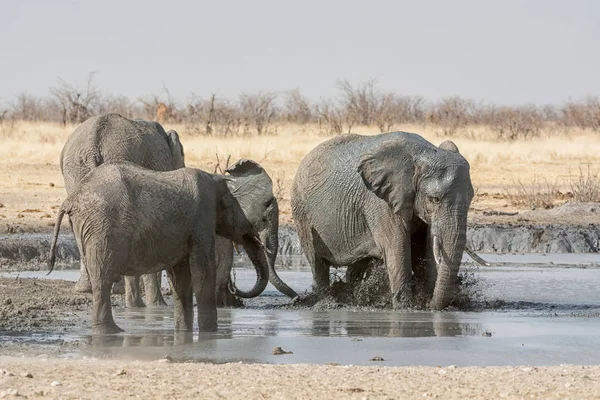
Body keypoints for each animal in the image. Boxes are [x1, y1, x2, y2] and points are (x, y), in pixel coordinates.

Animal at [47, 162, 272, 334]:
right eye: (235, 207)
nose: (234, 287)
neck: (214, 178)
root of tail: (72, 198)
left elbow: (181, 279)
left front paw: (184, 334)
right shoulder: (202, 218)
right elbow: (203, 273)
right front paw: (210, 334)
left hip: (87, 227)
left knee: (99, 279)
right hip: (101, 227)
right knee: (103, 280)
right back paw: (111, 332)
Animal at [290, 131, 488, 310]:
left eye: (471, 197)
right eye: (435, 199)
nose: (431, 306)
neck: (422, 154)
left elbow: (423, 251)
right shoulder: (381, 202)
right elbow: (397, 248)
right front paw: (405, 307)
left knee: (357, 265)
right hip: (302, 211)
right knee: (317, 263)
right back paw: (323, 301)